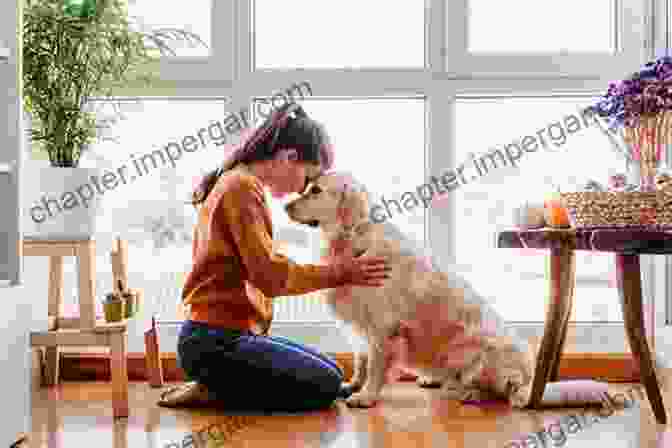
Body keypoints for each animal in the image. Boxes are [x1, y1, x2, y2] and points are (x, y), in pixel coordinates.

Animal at [284, 172, 536, 410]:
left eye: (316, 190)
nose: (286, 207)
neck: (354, 240)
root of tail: (528, 369)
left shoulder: (382, 325)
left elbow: (374, 365)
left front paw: (366, 396)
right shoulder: (361, 323)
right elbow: (361, 361)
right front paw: (353, 385)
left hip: (482, 352)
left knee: (503, 389)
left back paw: (470, 393)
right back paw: (435, 381)